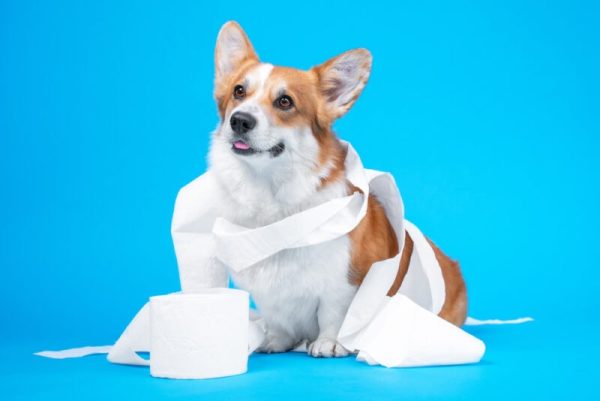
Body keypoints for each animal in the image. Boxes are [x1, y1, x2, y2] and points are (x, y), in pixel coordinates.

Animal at [209, 21, 466, 356]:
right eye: (239, 91)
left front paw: (329, 343)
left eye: (285, 101)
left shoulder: (344, 283)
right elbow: (277, 318)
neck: (272, 192)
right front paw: (275, 340)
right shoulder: (269, 296)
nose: (239, 121)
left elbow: (333, 313)